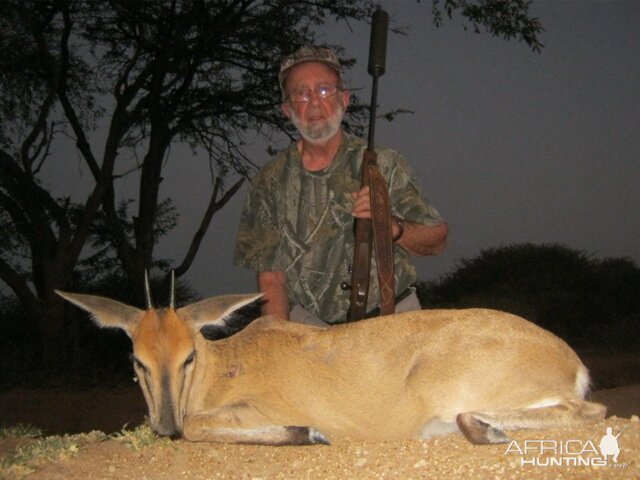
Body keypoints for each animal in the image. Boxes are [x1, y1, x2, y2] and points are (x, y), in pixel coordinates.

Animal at [56, 286, 604, 444]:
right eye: (137, 359)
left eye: (188, 354)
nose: (163, 426)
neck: (225, 366)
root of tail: (571, 360)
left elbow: (198, 427)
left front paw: (309, 432)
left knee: (591, 413)